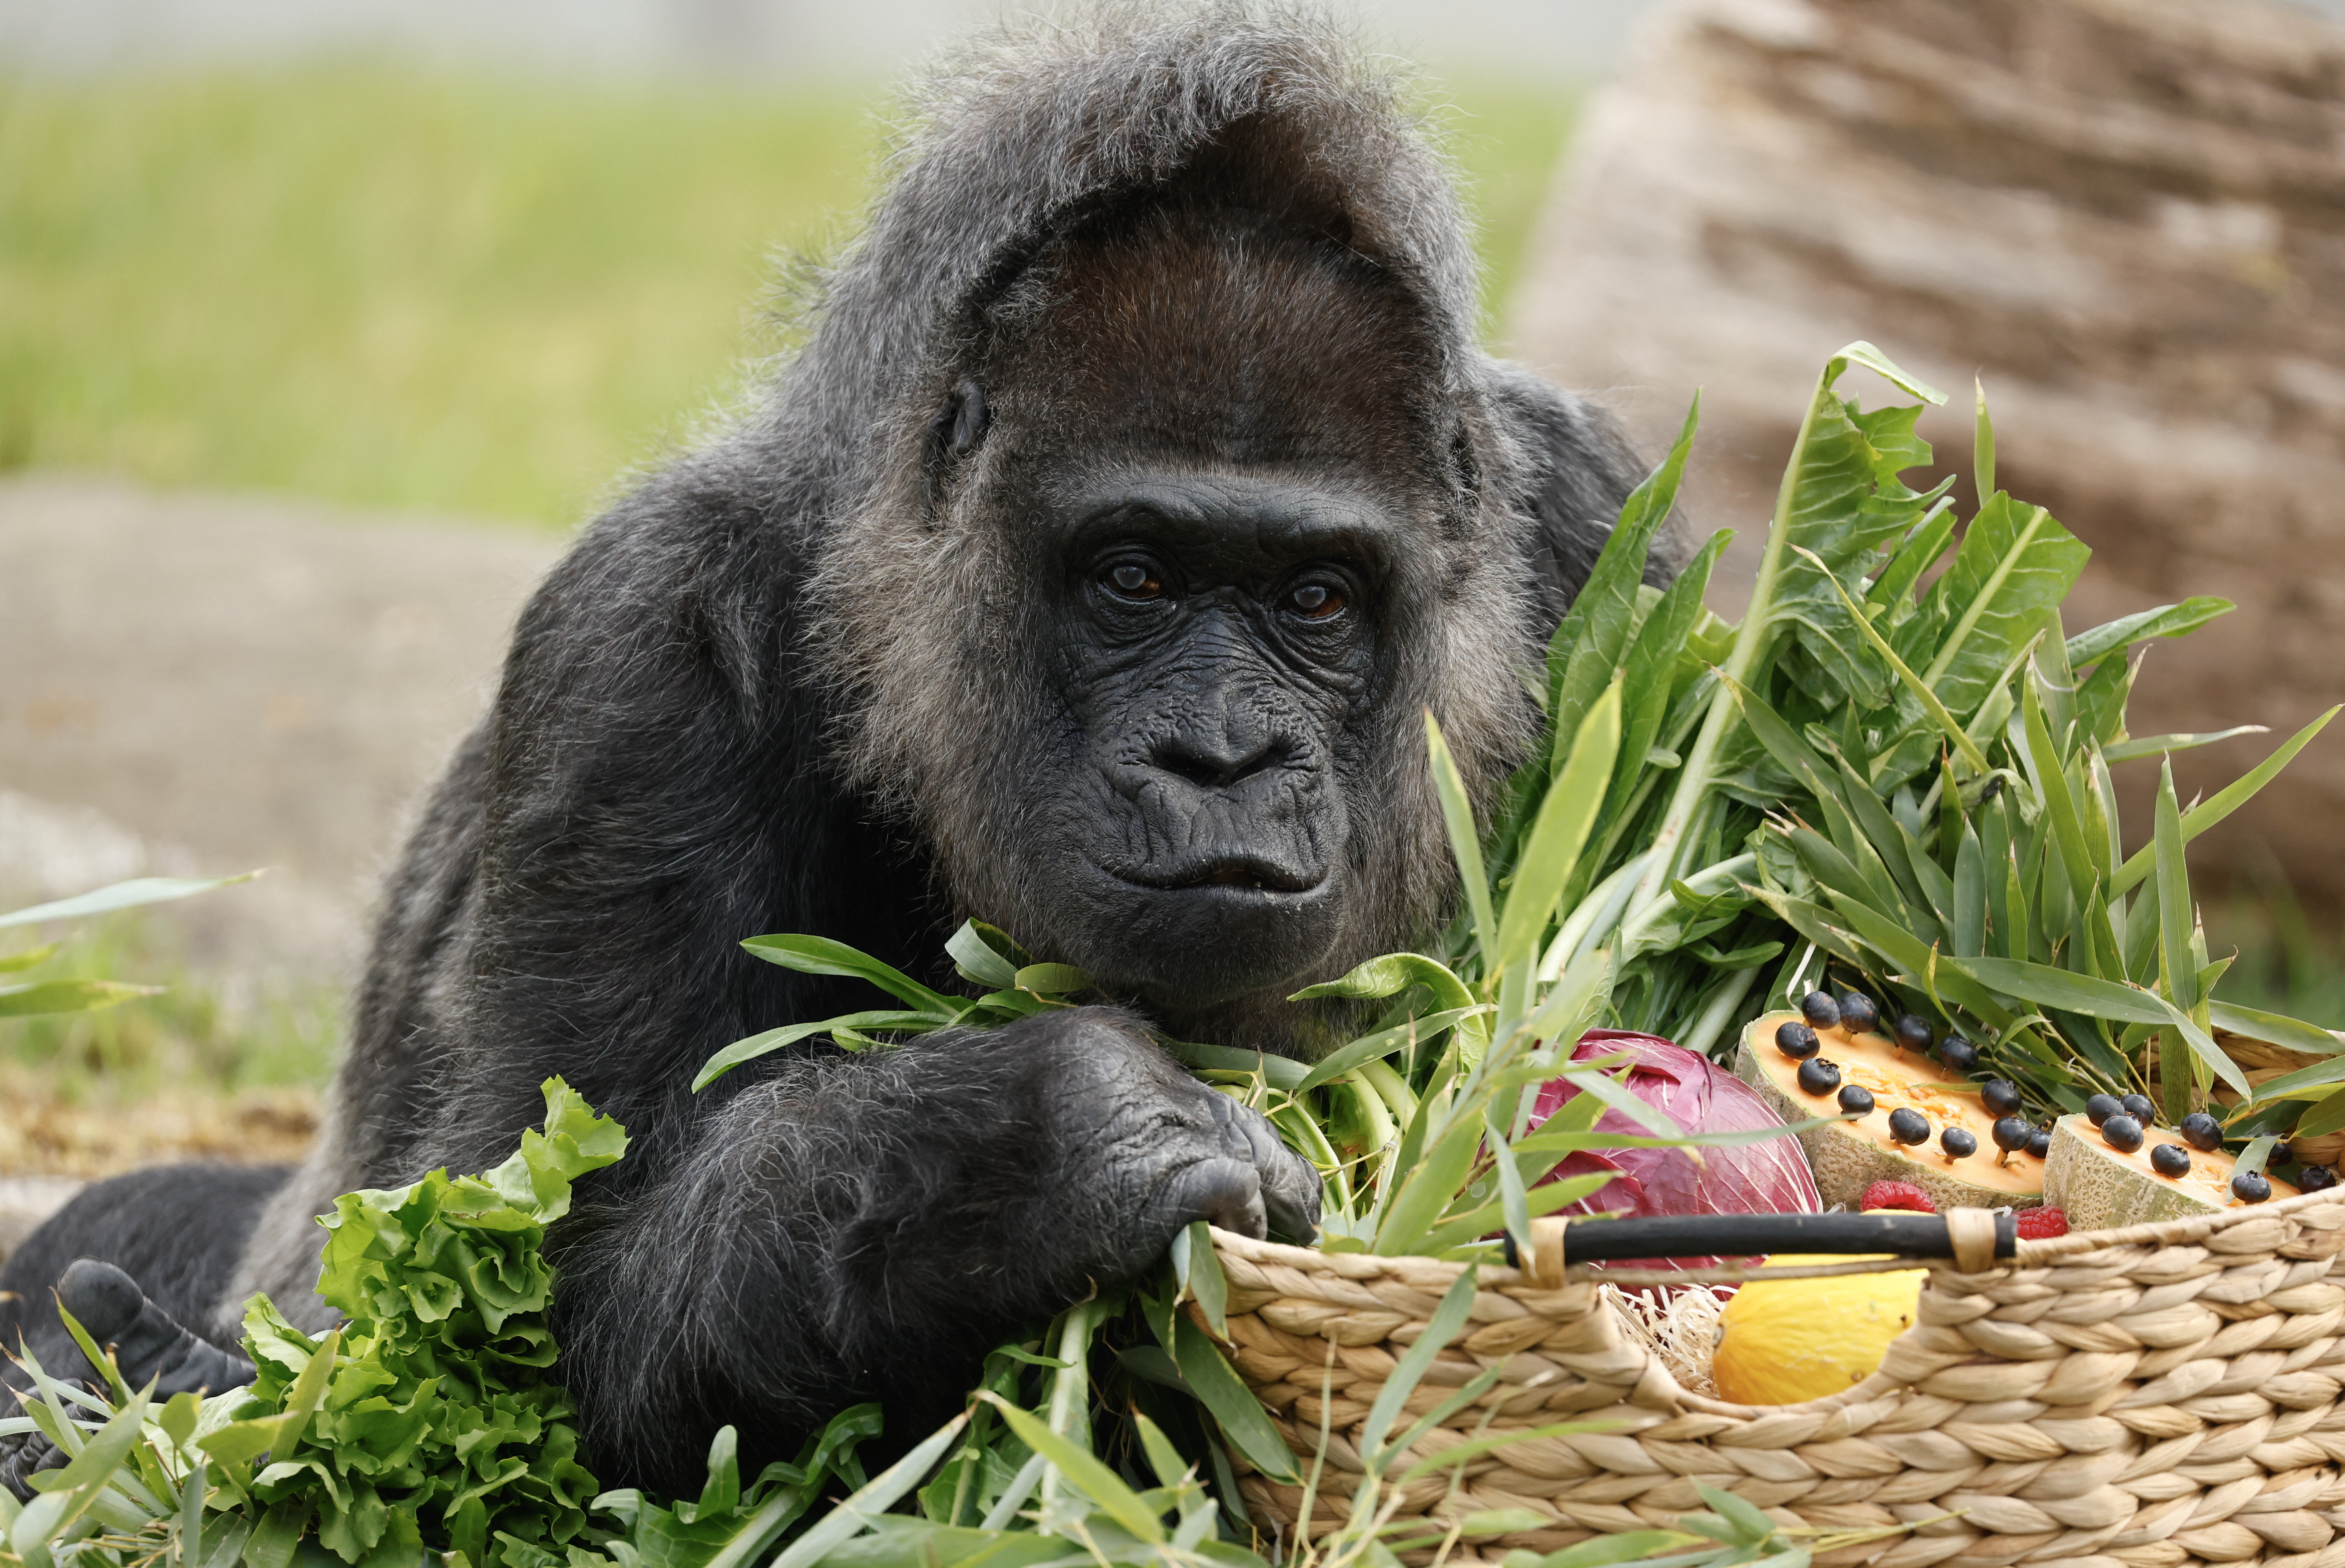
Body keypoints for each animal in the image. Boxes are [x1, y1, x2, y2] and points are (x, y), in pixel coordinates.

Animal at [3, 2, 1671, 1499]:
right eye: (1133, 577)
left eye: (1315, 597)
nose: (1223, 759)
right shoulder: (641, 639)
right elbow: (525, 1310)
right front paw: (1035, 1151)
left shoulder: (1592, 514)